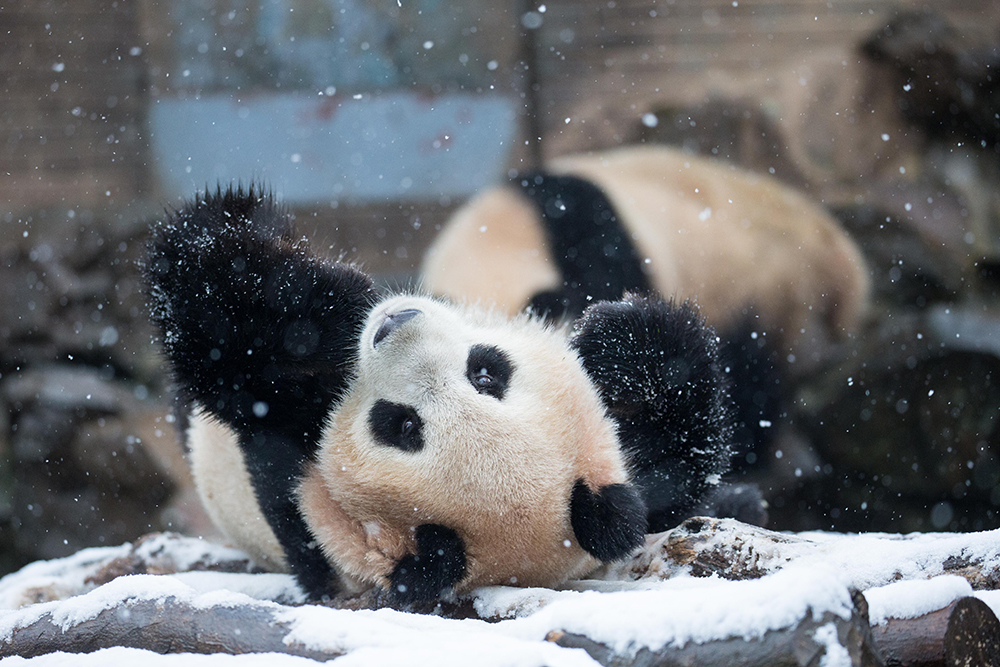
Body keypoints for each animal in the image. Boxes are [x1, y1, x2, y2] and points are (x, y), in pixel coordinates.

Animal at [143, 184, 736, 604]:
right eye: (487, 375)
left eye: (401, 425)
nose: (392, 324)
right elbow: (678, 457)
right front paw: (612, 341)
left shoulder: (300, 482)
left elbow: (228, 347)